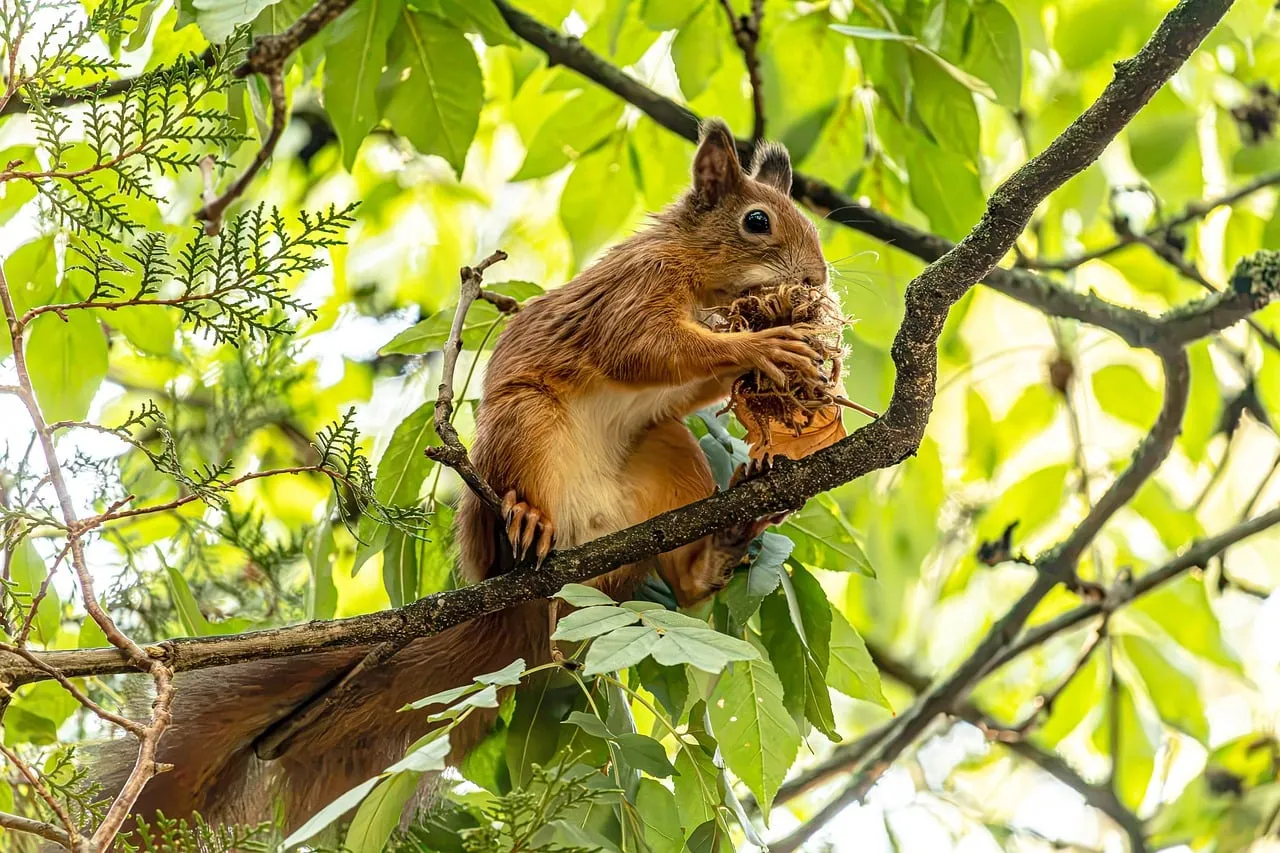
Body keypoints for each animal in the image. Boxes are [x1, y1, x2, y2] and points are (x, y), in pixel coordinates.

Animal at [98, 118, 830, 833]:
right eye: (758, 221)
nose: (820, 278)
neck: (698, 273)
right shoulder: (633, 292)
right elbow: (648, 349)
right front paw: (761, 344)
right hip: (522, 426)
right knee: (521, 512)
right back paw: (526, 522)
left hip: (665, 452)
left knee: (687, 577)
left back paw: (725, 539)